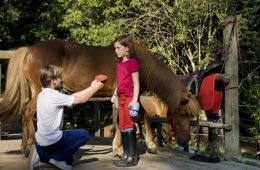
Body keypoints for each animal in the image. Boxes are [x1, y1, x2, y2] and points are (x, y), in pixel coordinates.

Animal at [0, 39, 199, 155]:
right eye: (183, 114)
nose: (184, 141)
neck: (136, 61)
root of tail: (28, 50)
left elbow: (141, 116)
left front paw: (148, 144)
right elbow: (125, 119)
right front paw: (120, 148)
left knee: (25, 111)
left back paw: (24, 147)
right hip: (42, 91)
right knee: (28, 112)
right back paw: (31, 145)